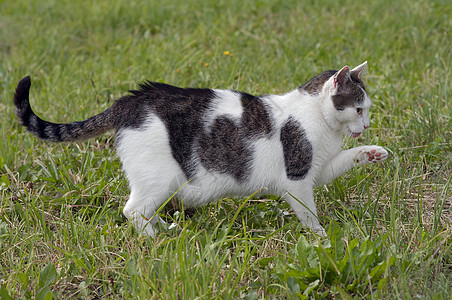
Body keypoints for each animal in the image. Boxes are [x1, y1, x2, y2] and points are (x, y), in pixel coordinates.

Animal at [14, 62, 388, 238]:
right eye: (359, 109)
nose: (367, 124)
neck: (320, 122)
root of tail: (131, 100)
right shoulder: (297, 180)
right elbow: (309, 214)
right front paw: (322, 236)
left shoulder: (317, 171)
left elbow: (345, 160)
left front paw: (372, 152)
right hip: (158, 177)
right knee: (132, 210)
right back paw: (154, 239)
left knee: (143, 209)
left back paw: (166, 229)